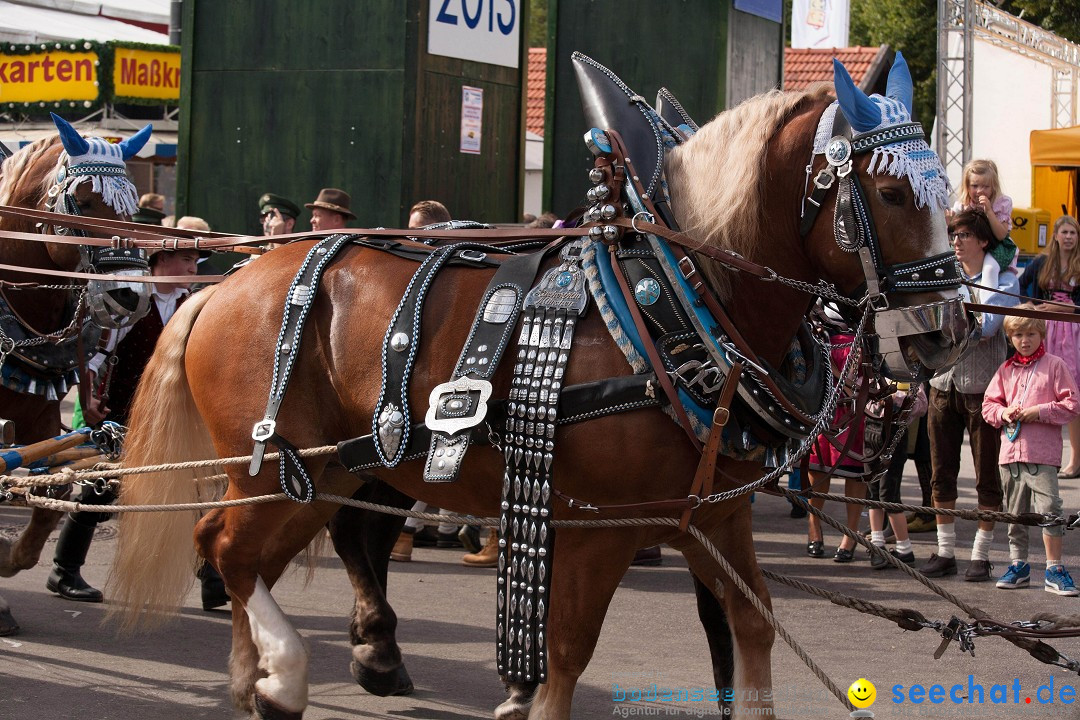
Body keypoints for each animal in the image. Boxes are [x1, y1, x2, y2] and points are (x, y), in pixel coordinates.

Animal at [0, 119, 152, 634]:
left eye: (133, 210)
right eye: (84, 202)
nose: (130, 297)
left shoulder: (34, 408)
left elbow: (54, 488)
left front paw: (8, 559)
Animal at [109, 76, 972, 716]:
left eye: (944, 193)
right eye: (893, 196)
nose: (946, 332)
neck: (678, 297)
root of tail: (224, 284)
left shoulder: (708, 518)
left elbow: (750, 628)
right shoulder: (599, 527)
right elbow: (566, 653)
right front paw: (523, 693)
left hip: (326, 473)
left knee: (249, 548)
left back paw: (258, 673)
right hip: (279, 468)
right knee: (228, 547)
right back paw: (284, 673)